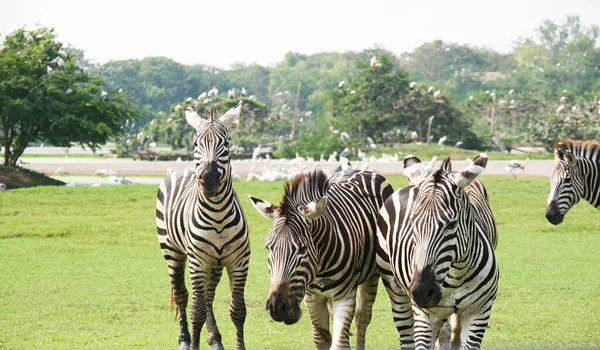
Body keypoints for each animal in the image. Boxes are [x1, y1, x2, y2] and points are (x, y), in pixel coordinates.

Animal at [155, 100, 251, 348]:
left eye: (226, 142)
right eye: (195, 143)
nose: (208, 178)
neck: (217, 216)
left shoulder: (239, 262)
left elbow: (238, 310)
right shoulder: (197, 262)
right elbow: (195, 311)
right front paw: (193, 344)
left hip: (214, 263)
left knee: (208, 295)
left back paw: (215, 339)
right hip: (172, 251)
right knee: (182, 295)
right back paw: (184, 339)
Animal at [248, 168, 394, 348]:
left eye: (302, 249)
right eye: (269, 248)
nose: (276, 307)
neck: (321, 267)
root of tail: (361, 170)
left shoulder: (344, 297)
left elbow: (340, 342)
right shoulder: (311, 298)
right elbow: (321, 337)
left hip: (373, 275)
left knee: (363, 317)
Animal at [378, 154, 500, 350]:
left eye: (451, 224)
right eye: (413, 222)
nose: (422, 291)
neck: (457, 274)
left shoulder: (479, 312)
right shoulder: (425, 315)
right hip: (393, 286)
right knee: (407, 334)